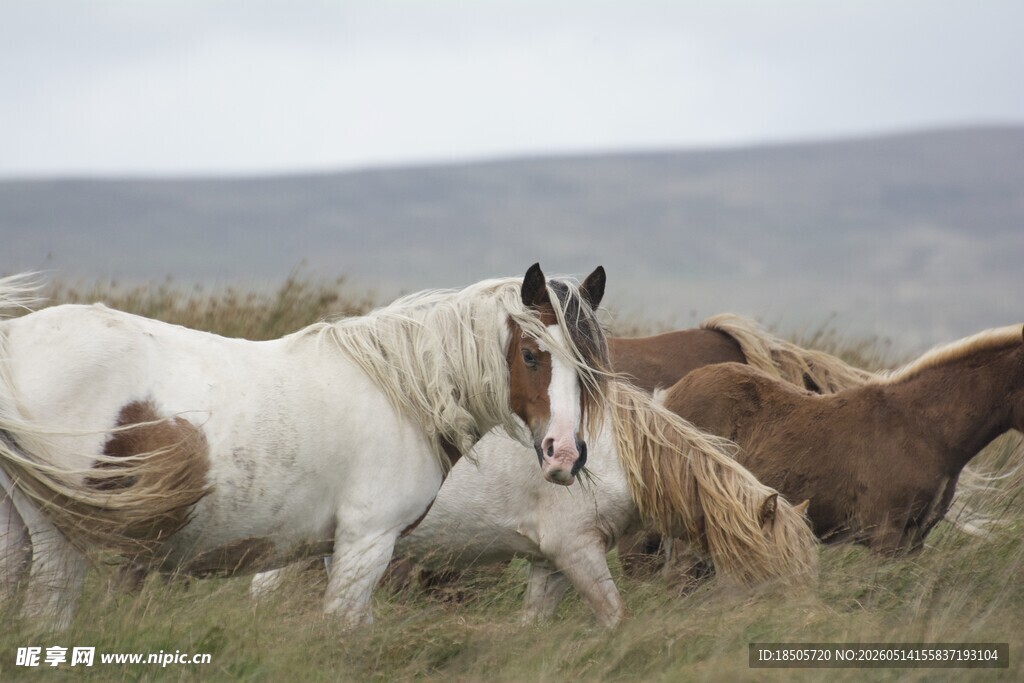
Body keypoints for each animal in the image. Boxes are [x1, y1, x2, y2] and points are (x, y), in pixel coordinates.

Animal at [0, 264, 610, 630]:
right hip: (62, 536)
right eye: (531, 355)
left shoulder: (342, 548)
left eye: (590, 364)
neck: (401, 391)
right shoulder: (367, 542)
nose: (563, 455)